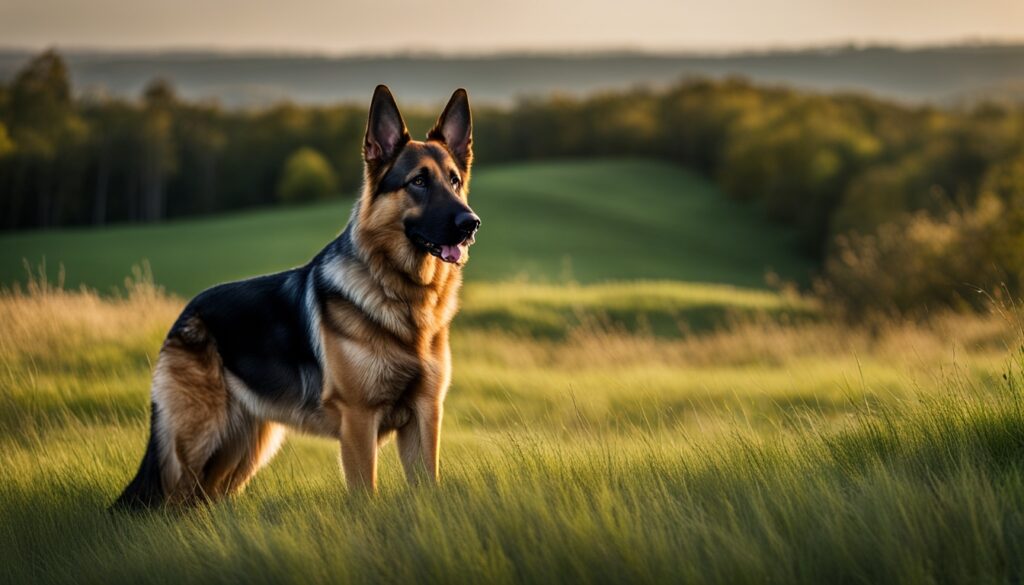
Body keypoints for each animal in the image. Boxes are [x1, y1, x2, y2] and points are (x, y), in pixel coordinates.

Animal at [114, 86, 481, 508]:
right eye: (418, 181)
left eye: (454, 181)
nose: (471, 224)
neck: (402, 297)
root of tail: (185, 313)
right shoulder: (359, 421)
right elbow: (365, 494)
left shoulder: (425, 416)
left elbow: (427, 487)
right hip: (195, 444)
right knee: (171, 502)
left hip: (242, 450)